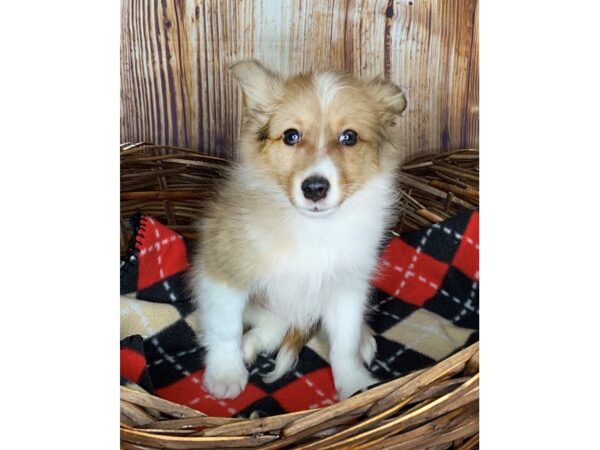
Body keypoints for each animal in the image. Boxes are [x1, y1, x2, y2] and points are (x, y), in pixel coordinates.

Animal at [191, 58, 408, 400]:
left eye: (349, 137)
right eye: (291, 136)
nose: (315, 188)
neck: (312, 229)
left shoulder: (347, 286)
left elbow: (344, 343)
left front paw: (354, 384)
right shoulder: (222, 272)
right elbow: (225, 328)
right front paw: (225, 375)